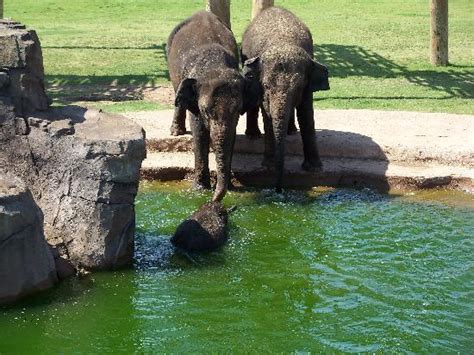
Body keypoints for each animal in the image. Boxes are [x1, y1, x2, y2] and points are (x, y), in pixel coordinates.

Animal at [166, 11, 256, 202]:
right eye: (206, 111)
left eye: (238, 111)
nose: (214, 201)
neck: (215, 65)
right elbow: (199, 133)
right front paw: (200, 189)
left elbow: (231, 136)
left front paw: (229, 187)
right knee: (177, 93)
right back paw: (176, 131)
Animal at [241, 6, 330, 193]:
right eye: (266, 86)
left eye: (298, 88)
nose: (278, 189)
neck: (283, 41)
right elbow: (267, 115)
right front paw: (268, 166)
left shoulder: (307, 87)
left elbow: (306, 114)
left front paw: (314, 168)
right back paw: (253, 135)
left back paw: (291, 131)